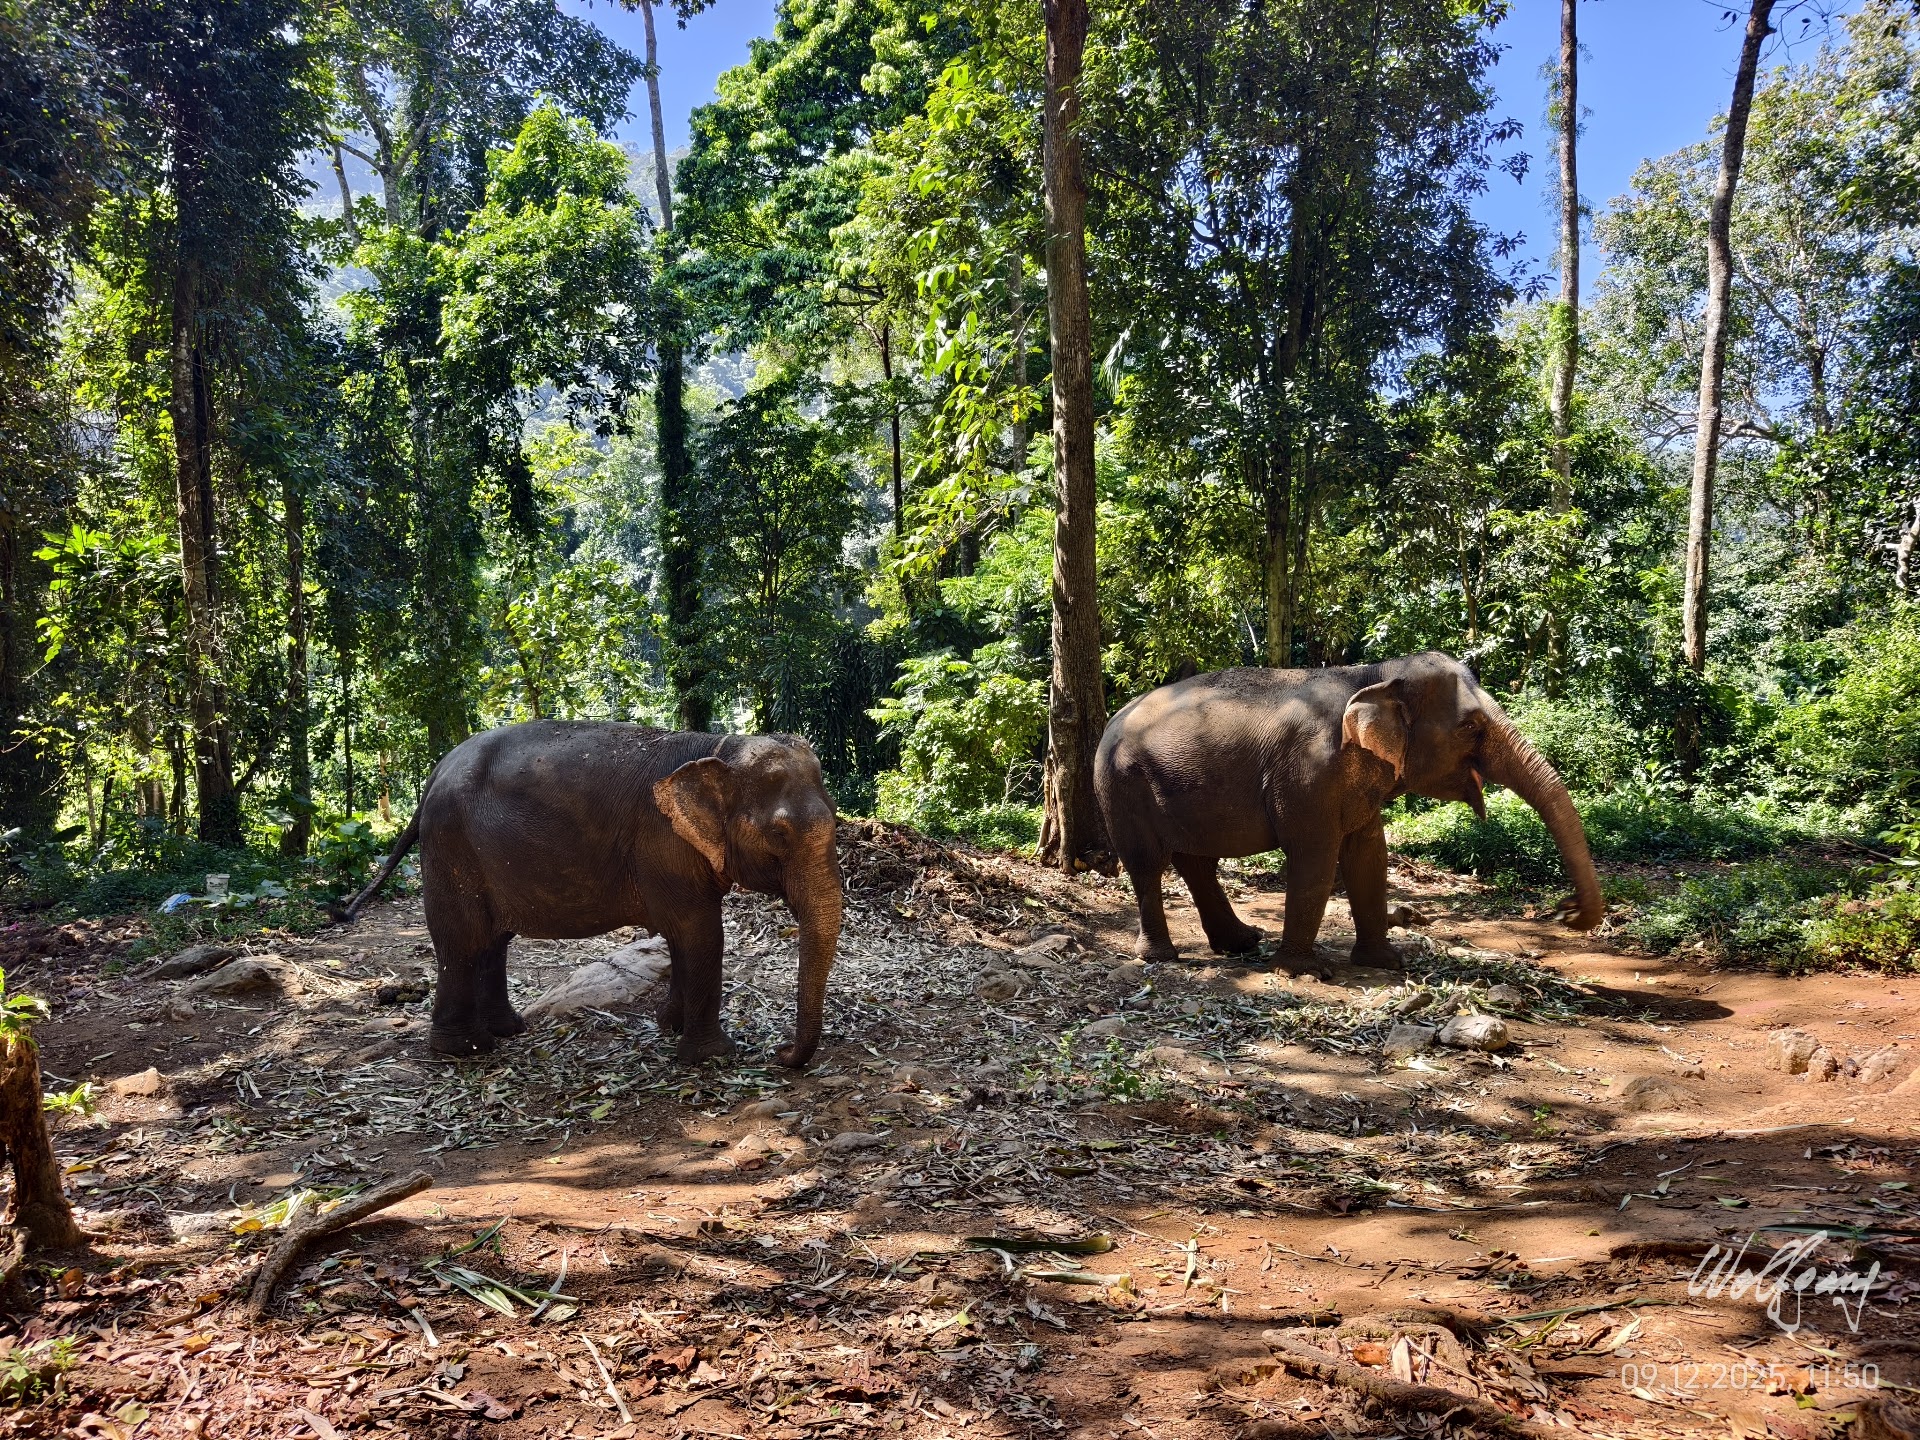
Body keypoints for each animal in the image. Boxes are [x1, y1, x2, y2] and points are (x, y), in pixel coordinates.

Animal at [332, 721, 843, 1066]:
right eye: (779, 835)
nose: (781, 1052)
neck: (720, 747)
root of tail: (435, 772)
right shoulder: (663, 846)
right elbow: (700, 934)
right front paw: (713, 1056)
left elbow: (686, 937)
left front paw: (669, 1024)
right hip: (449, 844)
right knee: (462, 942)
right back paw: (467, 1050)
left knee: (491, 941)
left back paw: (507, 1031)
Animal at [1094, 651, 1604, 969]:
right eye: (1470, 727)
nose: (1567, 911)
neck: (1373, 674)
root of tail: (1110, 720)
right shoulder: (1307, 774)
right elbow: (1316, 857)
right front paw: (1304, 971)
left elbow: (1369, 856)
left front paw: (1388, 963)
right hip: (1121, 787)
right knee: (1148, 864)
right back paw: (1160, 957)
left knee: (1195, 861)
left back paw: (1241, 942)